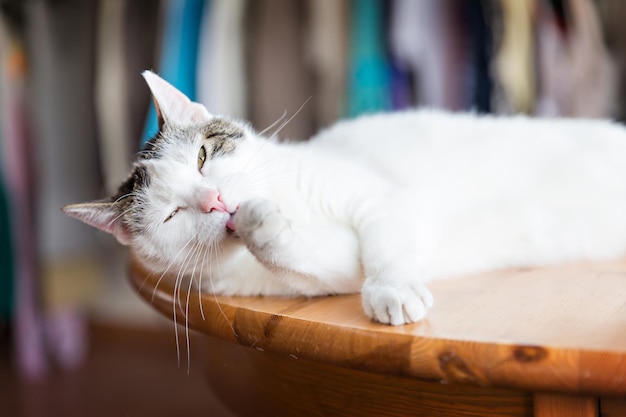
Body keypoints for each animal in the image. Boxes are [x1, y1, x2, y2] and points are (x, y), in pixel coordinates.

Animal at [63, 70, 626, 324]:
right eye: (172, 214)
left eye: (202, 157)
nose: (215, 200)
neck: (291, 202)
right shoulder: (318, 272)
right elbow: (312, 257)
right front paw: (265, 228)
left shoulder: (378, 197)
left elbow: (384, 244)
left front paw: (392, 288)